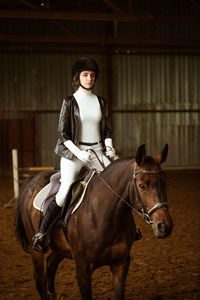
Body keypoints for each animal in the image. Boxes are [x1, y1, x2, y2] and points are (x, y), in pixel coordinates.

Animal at [15, 144, 173, 298]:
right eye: (142, 185)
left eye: (165, 183)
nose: (164, 226)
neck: (106, 216)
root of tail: (32, 179)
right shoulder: (83, 269)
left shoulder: (121, 264)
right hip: (36, 249)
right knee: (40, 278)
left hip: (60, 247)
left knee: (50, 265)